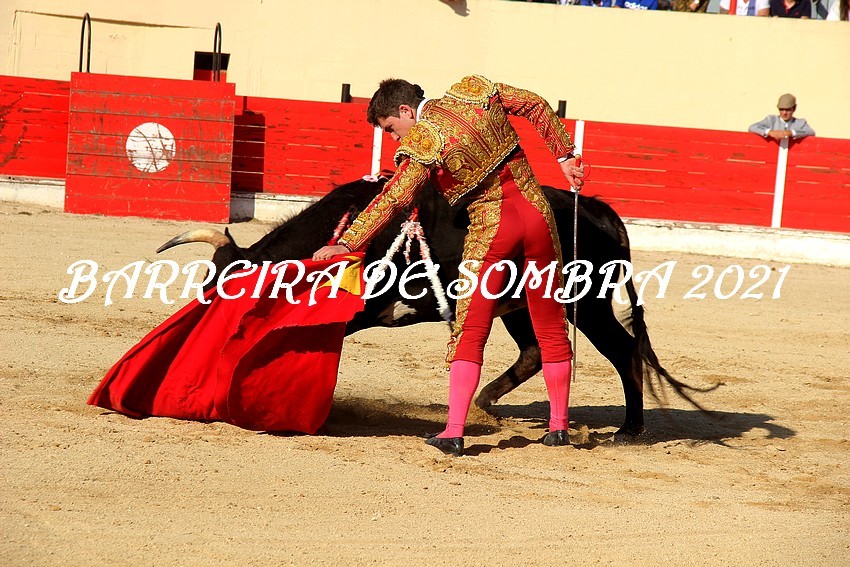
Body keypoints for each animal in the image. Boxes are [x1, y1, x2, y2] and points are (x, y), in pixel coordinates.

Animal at [157, 178, 713, 437]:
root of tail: (598, 210)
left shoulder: (356, 313)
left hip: (589, 305)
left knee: (622, 352)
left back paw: (629, 429)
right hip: (520, 306)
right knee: (535, 353)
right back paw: (486, 405)